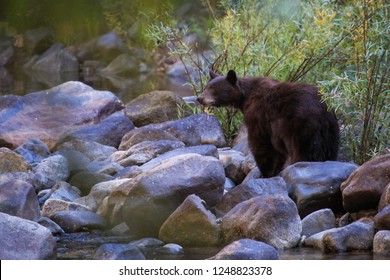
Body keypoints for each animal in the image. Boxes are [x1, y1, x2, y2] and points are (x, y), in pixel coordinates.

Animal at [198, 71, 338, 178]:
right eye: (206, 87)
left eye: (214, 89)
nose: (199, 98)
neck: (245, 97)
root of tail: (322, 109)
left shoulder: (259, 116)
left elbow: (261, 144)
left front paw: (265, 172)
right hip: (330, 132)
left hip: (302, 126)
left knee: (303, 150)